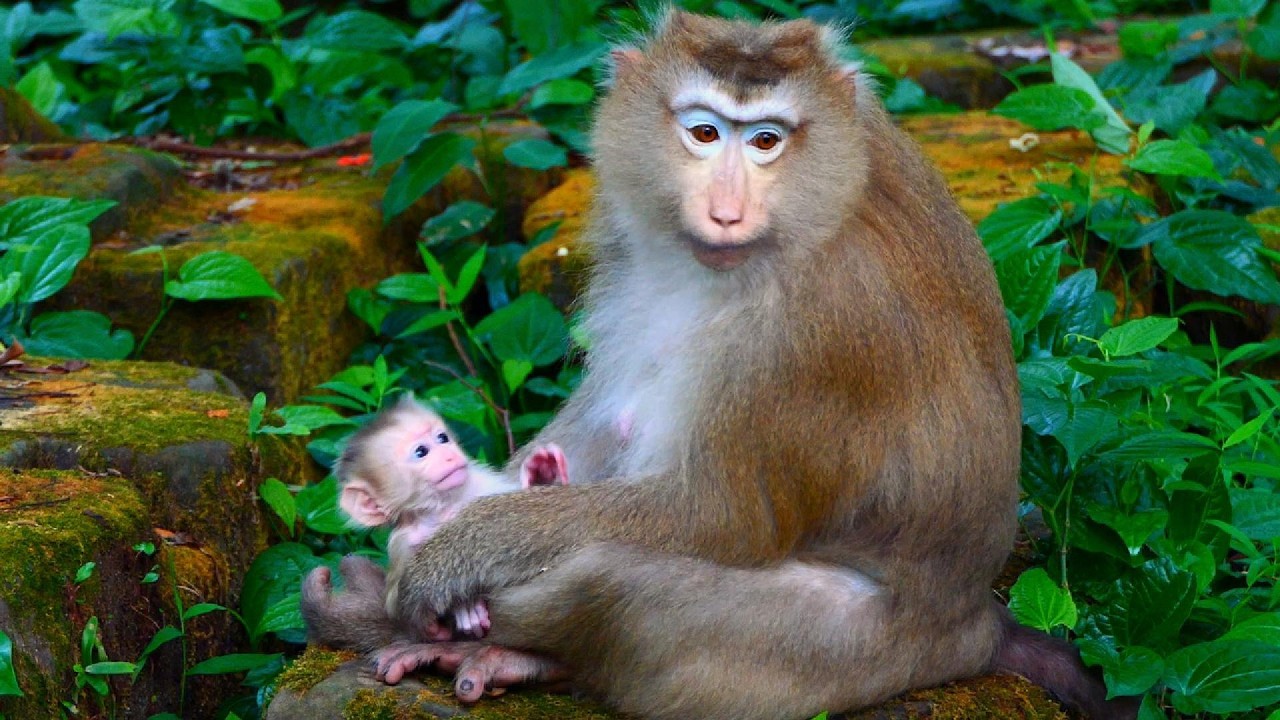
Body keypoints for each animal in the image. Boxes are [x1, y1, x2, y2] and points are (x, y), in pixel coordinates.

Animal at [334, 394, 568, 636]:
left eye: (442, 438)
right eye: (421, 452)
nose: (449, 455)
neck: (443, 508)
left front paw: (543, 471)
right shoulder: (401, 544)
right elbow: (404, 609)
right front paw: (465, 610)